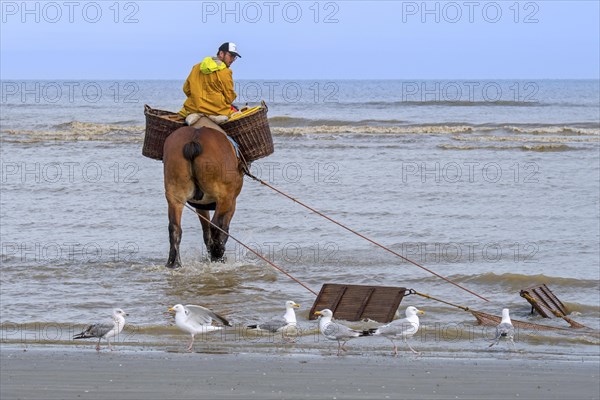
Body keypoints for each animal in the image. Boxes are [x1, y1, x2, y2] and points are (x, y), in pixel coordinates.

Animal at [163, 126, 243, 268]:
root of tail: (194, 138)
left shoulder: (201, 205)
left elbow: (206, 232)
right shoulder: (231, 202)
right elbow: (223, 229)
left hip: (175, 195)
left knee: (174, 227)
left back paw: (174, 262)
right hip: (224, 198)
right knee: (216, 226)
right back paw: (217, 255)